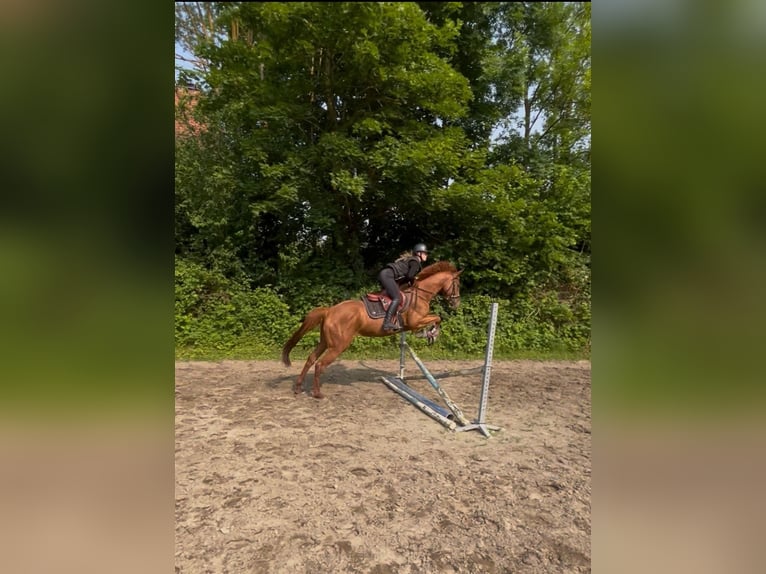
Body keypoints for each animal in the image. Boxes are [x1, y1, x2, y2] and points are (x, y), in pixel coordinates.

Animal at [281, 261, 462, 398]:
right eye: (457, 284)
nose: (456, 303)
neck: (420, 294)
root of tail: (330, 310)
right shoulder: (415, 321)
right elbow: (437, 318)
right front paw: (431, 334)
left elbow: (436, 318)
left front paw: (428, 334)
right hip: (338, 346)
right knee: (320, 364)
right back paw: (317, 393)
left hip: (325, 342)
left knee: (311, 359)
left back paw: (298, 388)